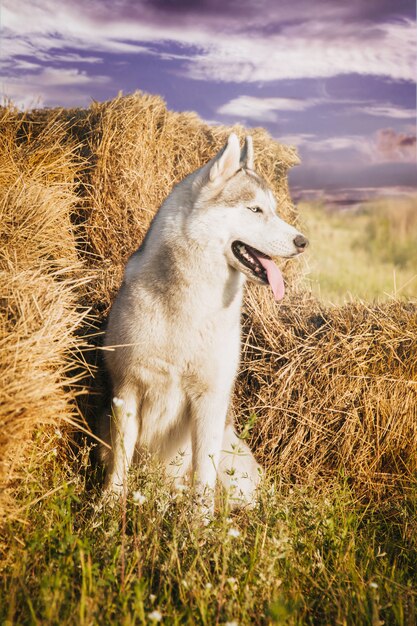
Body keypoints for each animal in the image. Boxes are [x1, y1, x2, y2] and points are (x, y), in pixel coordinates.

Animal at [100, 133, 308, 512]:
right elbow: (121, 462)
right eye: (255, 210)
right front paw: (107, 506)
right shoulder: (128, 391)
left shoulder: (209, 400)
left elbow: (203, 476)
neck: (190, 304)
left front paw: (199, 522)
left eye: (273, 209)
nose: (303, 242)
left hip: (236, 472)